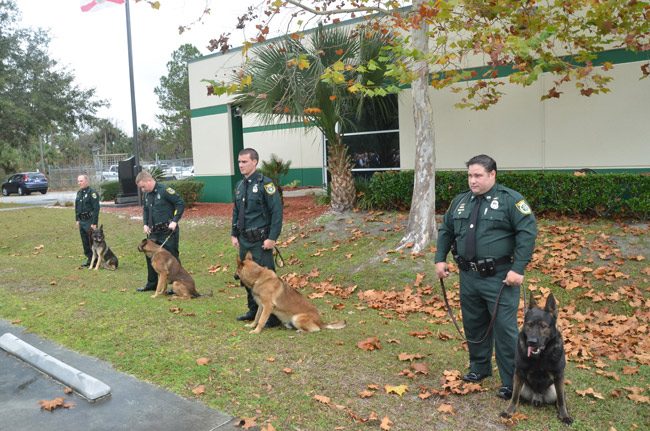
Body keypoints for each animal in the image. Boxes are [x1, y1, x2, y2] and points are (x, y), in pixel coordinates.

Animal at [498, 294, 568, 426]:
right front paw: (509, 411)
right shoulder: (519, 373)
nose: (531, 342)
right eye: (529, 324)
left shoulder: (559, 375)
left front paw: (565, 416)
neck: (540, 356)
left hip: (555, 388)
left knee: (560, 398)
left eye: (543, 326)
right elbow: (514, 397)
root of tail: (537, 397)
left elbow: (561, 400)